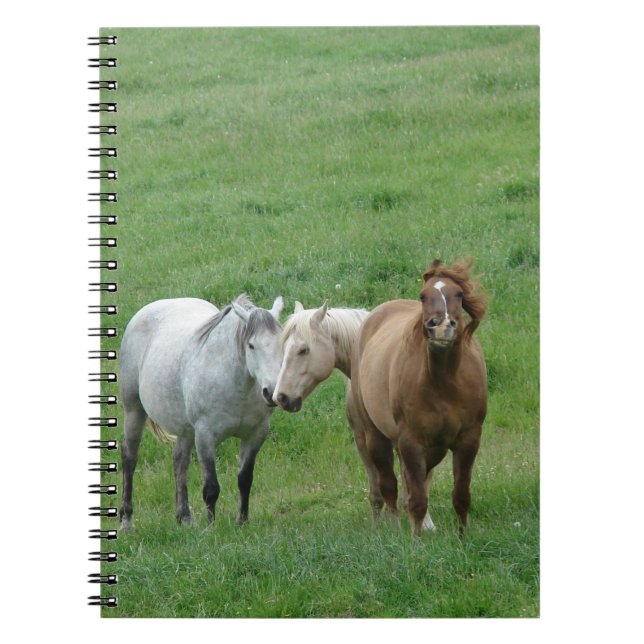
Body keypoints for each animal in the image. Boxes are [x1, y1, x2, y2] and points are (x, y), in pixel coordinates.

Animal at [118, 293, 284, 528]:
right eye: (251, 345)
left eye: (282, 342)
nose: (272, 392)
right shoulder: (205, 435)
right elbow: (211, 488)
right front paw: (210, 527)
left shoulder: (256, 434)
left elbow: (245, 480)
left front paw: (242, 522)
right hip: (134, 410)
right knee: (129, 457)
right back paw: (126, 521)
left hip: (185, 427)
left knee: (179, 461)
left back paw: (184, 518)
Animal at [347, 259, 487, 536]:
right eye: (423, 296)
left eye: (459, 294)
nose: (441, 327)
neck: (444, 383)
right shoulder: (411, 442)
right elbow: (417, 499)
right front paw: (415, 539)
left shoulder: (468, 440)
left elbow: (461, 495)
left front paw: (462, 537)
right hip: (375, 436)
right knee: (389, 486)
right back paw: (395, 530)